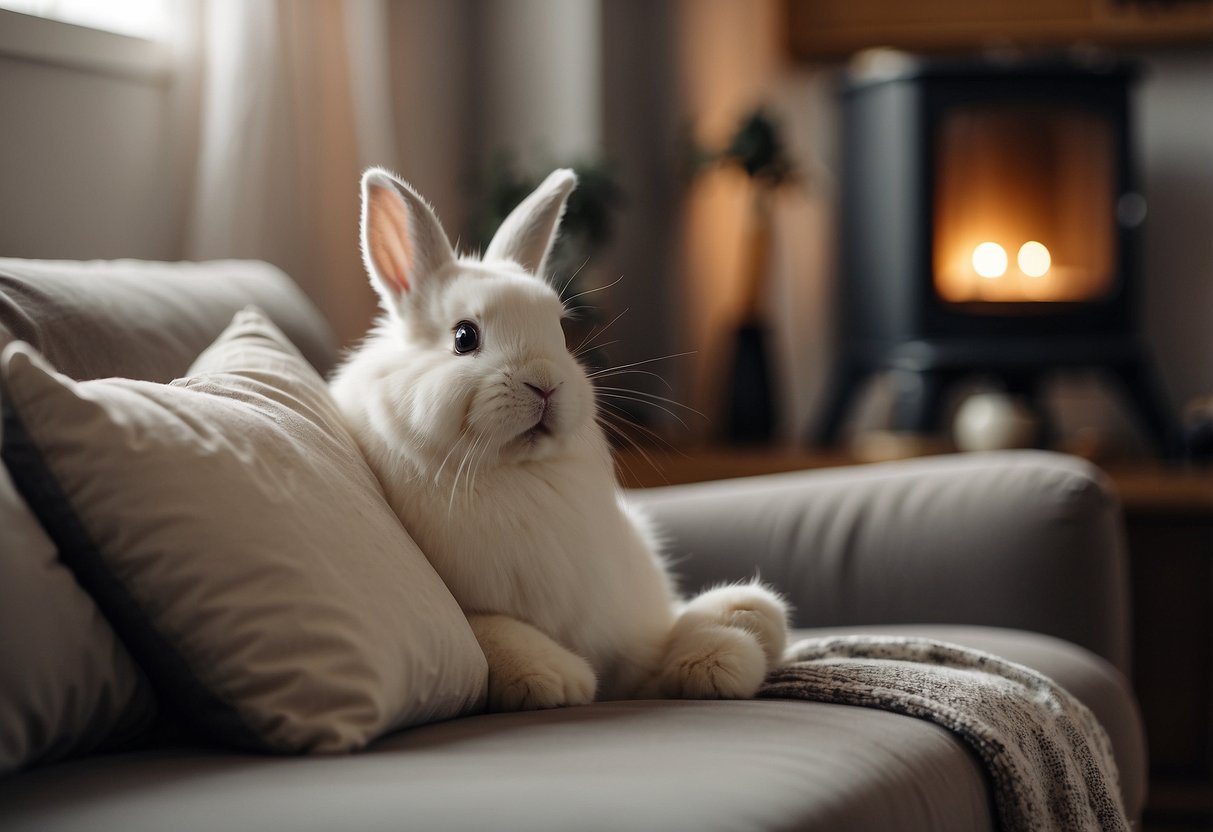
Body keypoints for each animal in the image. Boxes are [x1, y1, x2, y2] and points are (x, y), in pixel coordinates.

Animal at [332, 167, 786, 708]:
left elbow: (655, 651)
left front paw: (724, 650)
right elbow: (489, 628)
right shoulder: (472, 607)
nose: (546, 384)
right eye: (464, 337)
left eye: (562, 334)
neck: (518, 473)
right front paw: (556, 677)